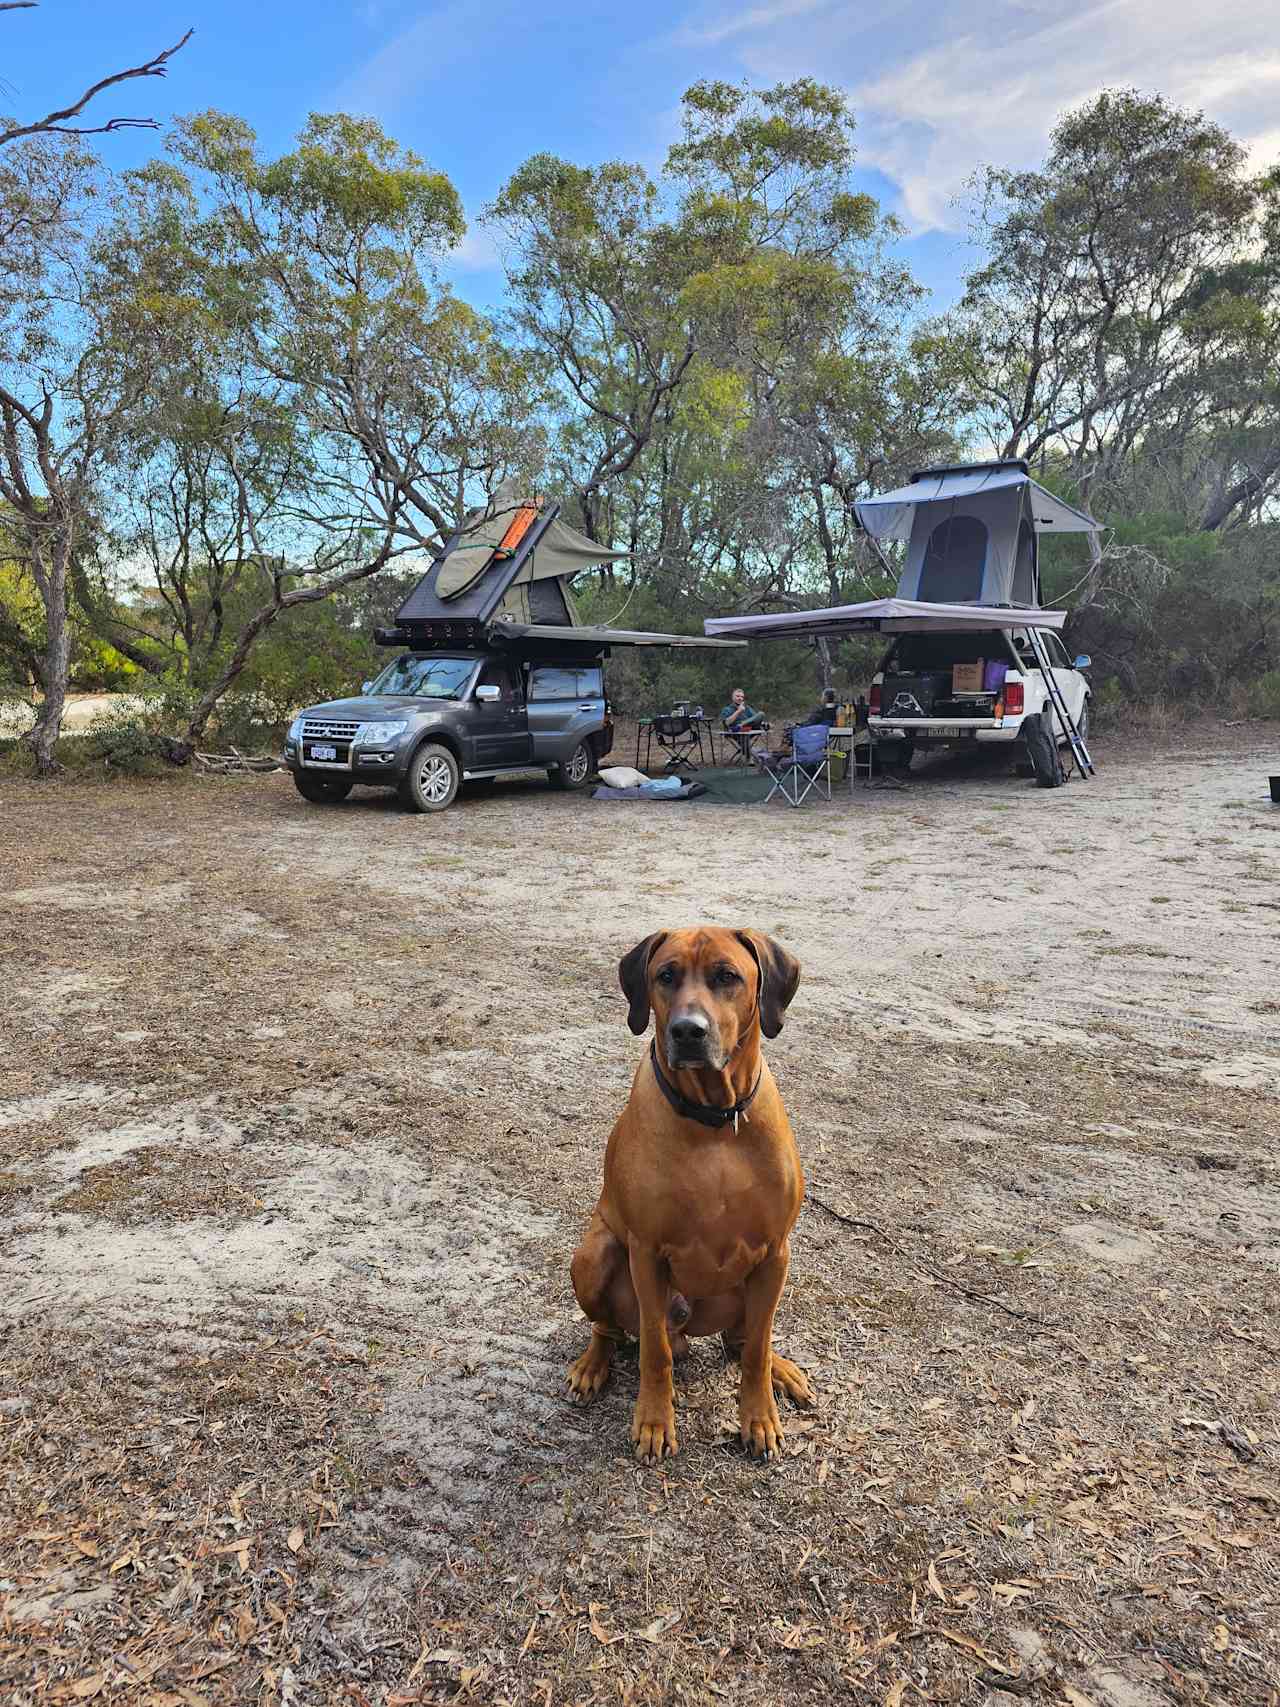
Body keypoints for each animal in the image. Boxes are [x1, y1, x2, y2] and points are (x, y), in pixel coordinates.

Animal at [570, 928, 815, 1461]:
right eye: (666, 975)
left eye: (728, 976)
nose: (687, 1031)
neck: (715, 1122)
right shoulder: (645, 1252)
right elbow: (654, 1353)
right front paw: (654, 1421)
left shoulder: (776, 1251)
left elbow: (757, 1348)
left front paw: (758, 1417)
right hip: (594, 1256)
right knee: (613, 1329)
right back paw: (592, 1365)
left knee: (743, 1340)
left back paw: (782, 1369)